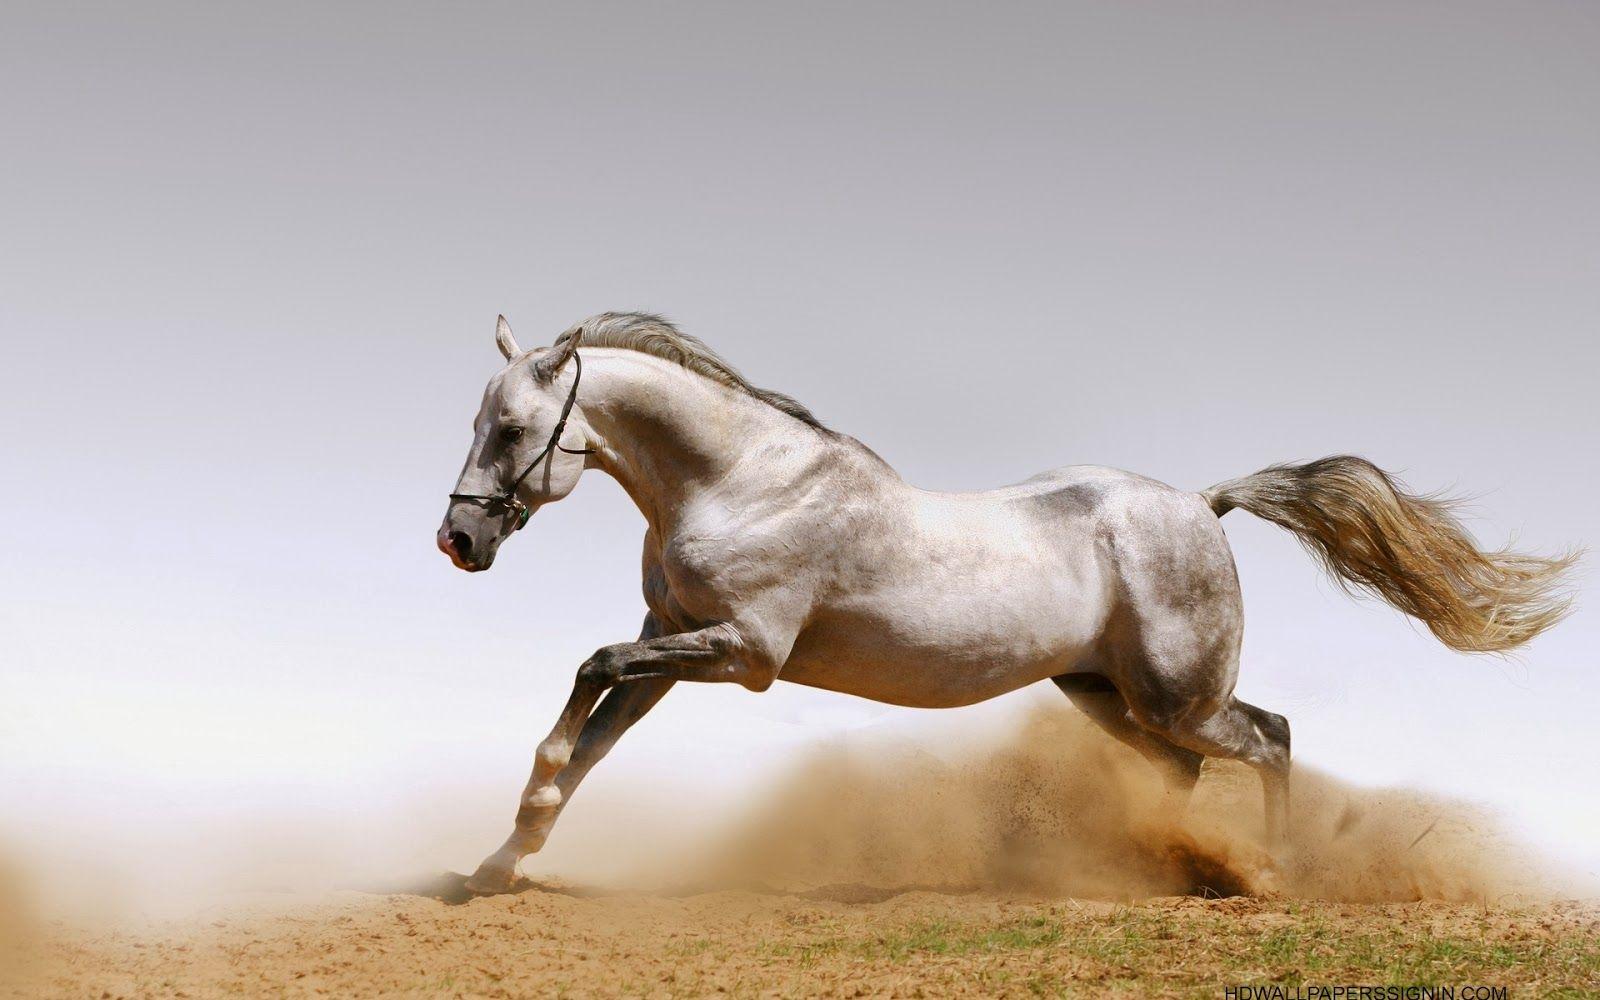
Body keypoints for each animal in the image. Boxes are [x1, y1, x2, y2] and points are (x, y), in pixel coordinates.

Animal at [438, 312, 1576, 895]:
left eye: (512, 429)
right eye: (481, 421)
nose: (458, 541)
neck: (740, 481)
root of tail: (1203, 504)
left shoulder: (741, 652)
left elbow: (586, 675)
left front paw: (509, 838)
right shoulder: (672, 638)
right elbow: (591, 740)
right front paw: (499, 862)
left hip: (1179, 694)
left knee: (1271, 737)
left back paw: (1272, 874)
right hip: (1102, 693)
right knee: (1188, 769)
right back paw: (1163, 868)